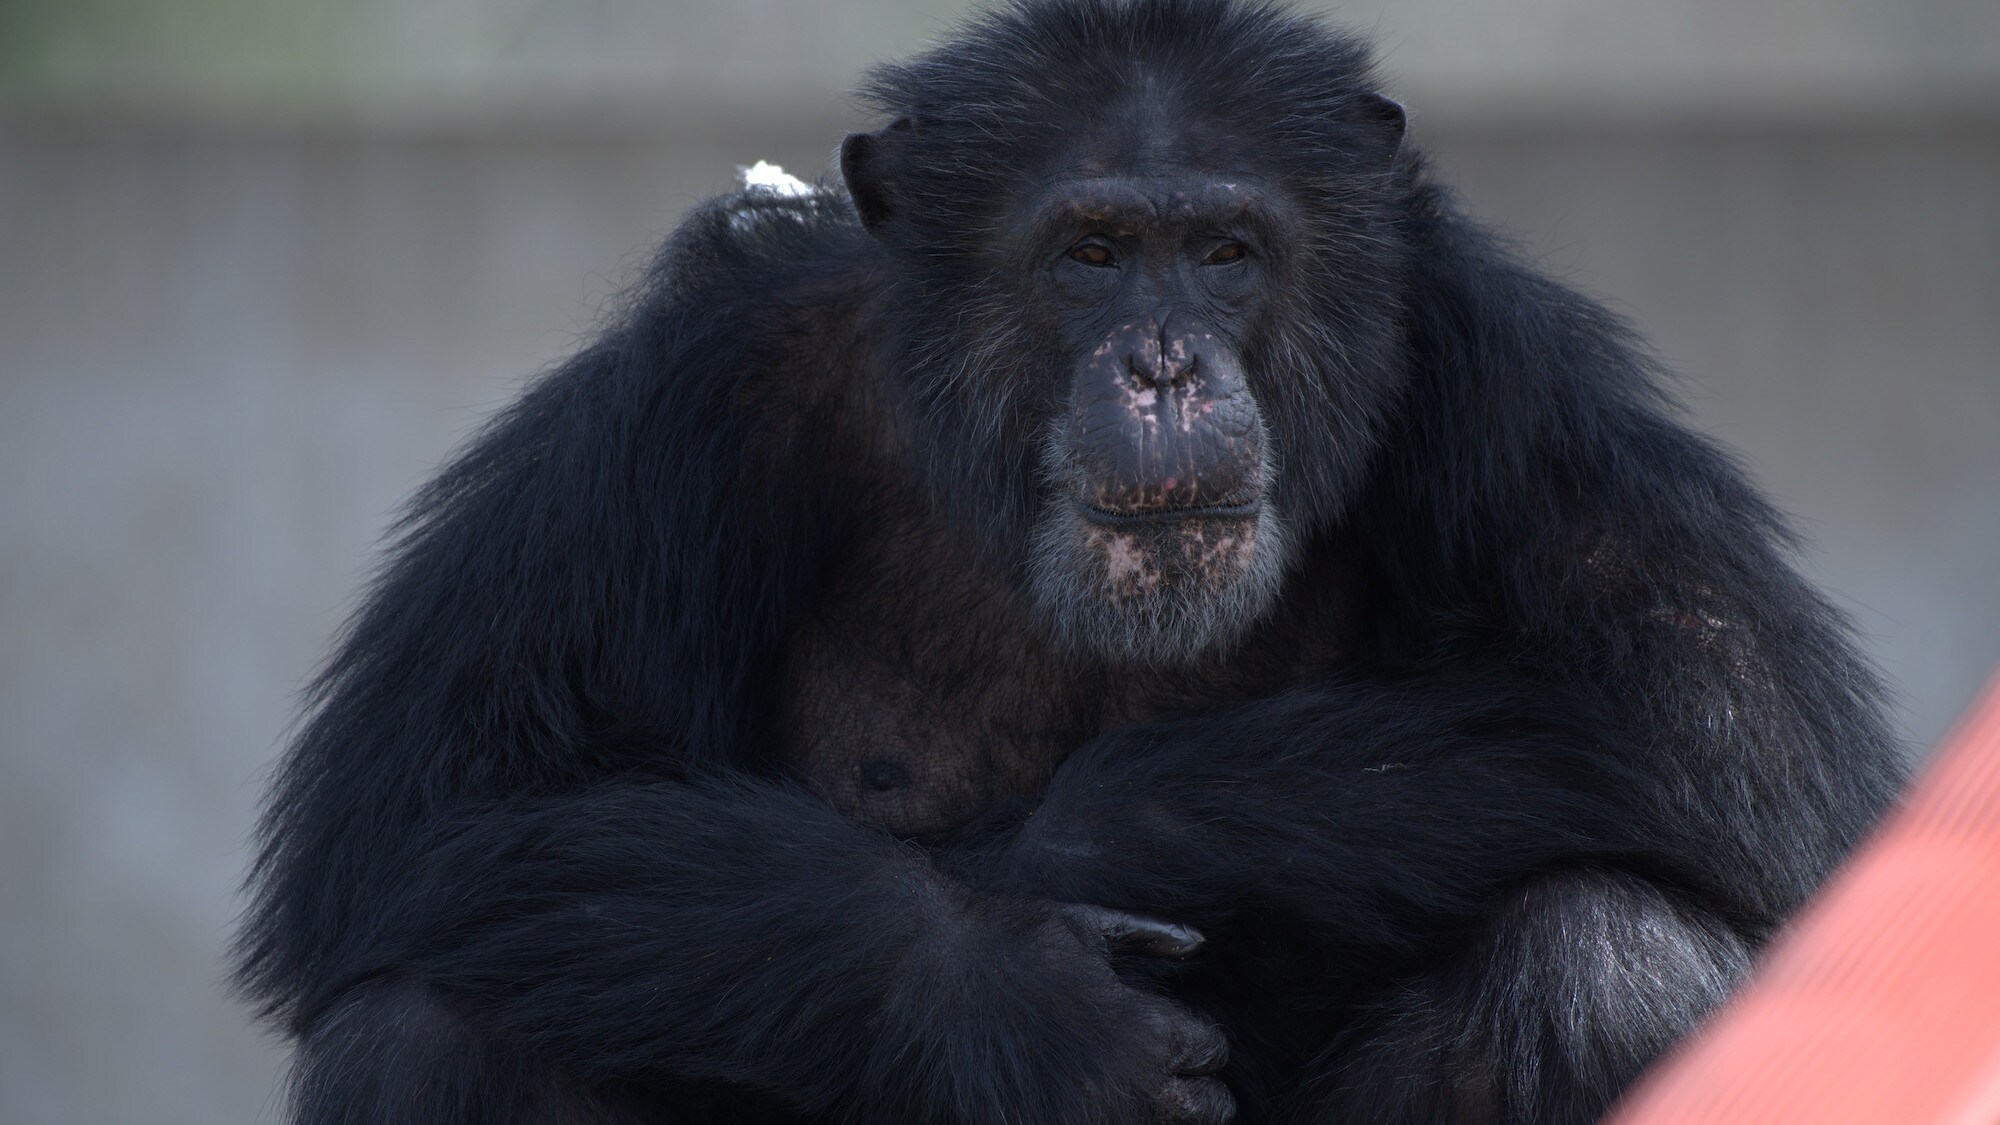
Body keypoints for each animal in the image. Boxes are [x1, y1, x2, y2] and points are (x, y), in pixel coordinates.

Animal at [234, 2, 1904, 1120]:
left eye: (1225, 253)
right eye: (1091, 253)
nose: (1162, 364)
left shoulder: (1510, 367)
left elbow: (1726, 723)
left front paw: (1069, 844)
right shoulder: (691, 392)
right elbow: (430, 807)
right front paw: (1014, 995)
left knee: (1608, 964)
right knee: (435, 1023)